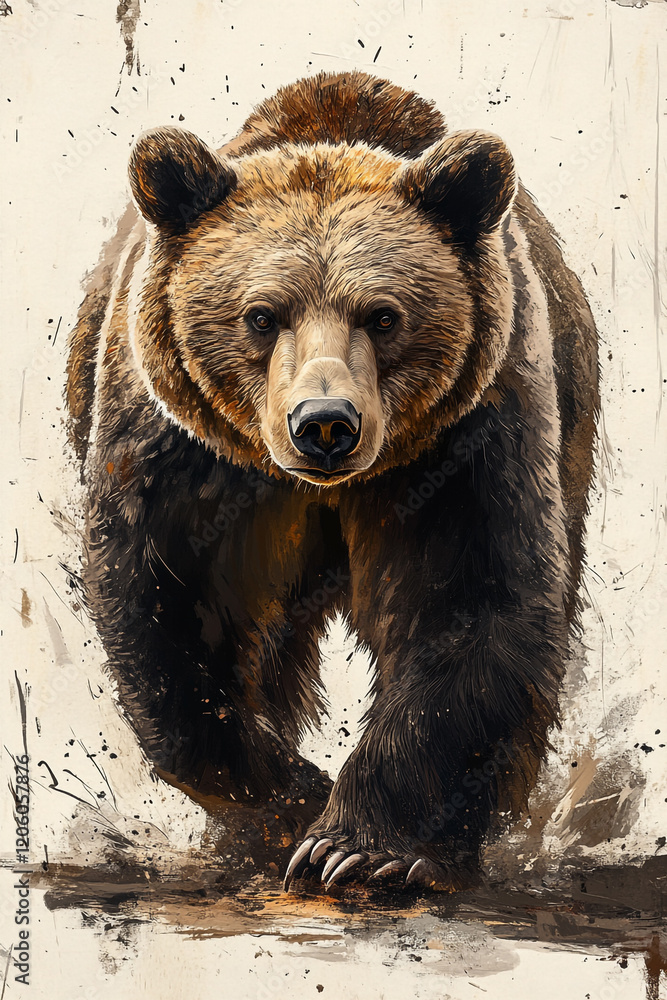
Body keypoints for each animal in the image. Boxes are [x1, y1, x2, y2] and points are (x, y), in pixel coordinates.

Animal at [66, 70, 599, 891]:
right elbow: (164, 602)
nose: (324, 422)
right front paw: (290, 801)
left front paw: (358, 846)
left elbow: (469, 600)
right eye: (260, 315)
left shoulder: (467, 438)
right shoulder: (181, 450)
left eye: (383, 315)